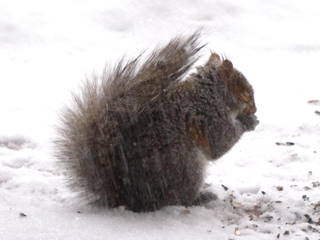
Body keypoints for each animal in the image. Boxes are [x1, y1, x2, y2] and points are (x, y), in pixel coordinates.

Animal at [56, 31, 258, 212]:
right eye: (246, 93)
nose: (255, 109)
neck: (209, 94)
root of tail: (125, 196)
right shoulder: (206, 117)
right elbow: (219, 142)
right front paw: (248, 122)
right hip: (185, 166)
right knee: (178, 199)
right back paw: (201, 198)